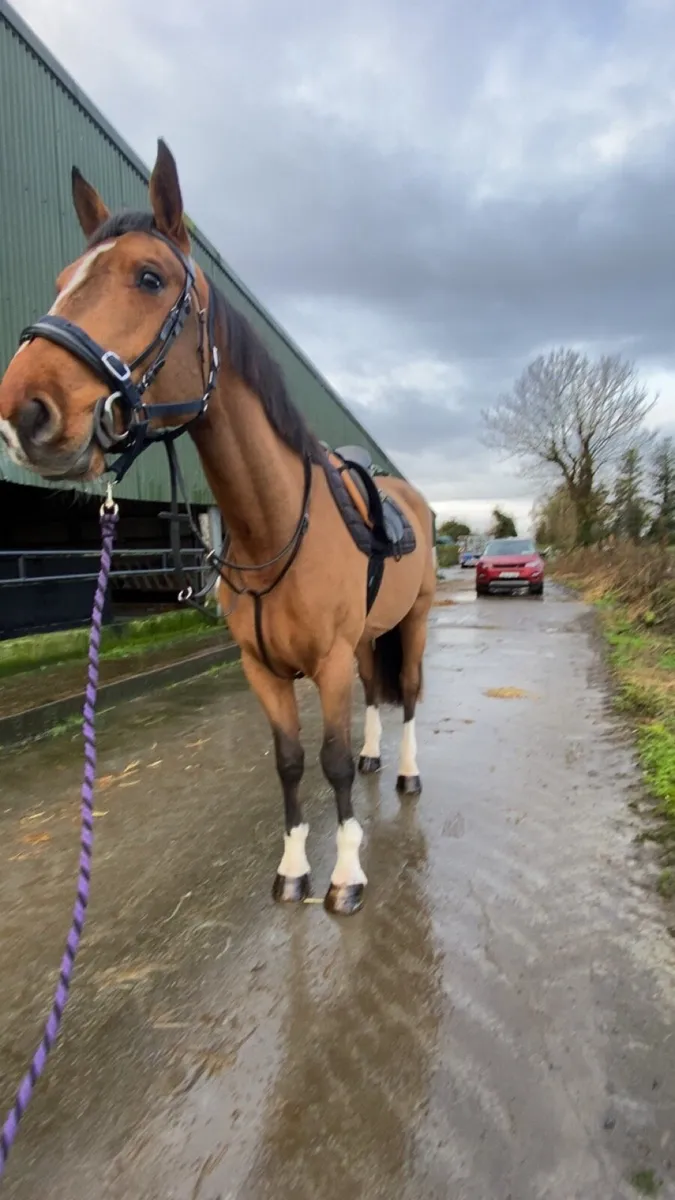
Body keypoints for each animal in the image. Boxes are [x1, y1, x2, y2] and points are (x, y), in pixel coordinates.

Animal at [0, 139, 436, 916]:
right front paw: (292, 868)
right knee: (376, 694)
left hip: (411, 619)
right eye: (61, 280)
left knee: (408, 693)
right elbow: (290, 762)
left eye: (149, 277)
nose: (24, 411)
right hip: (367, 634)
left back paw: (407, 772)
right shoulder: (262, 669)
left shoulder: (324, 663)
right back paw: (375, 755)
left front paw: (346, 875)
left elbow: (328, 764)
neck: (274, 528)